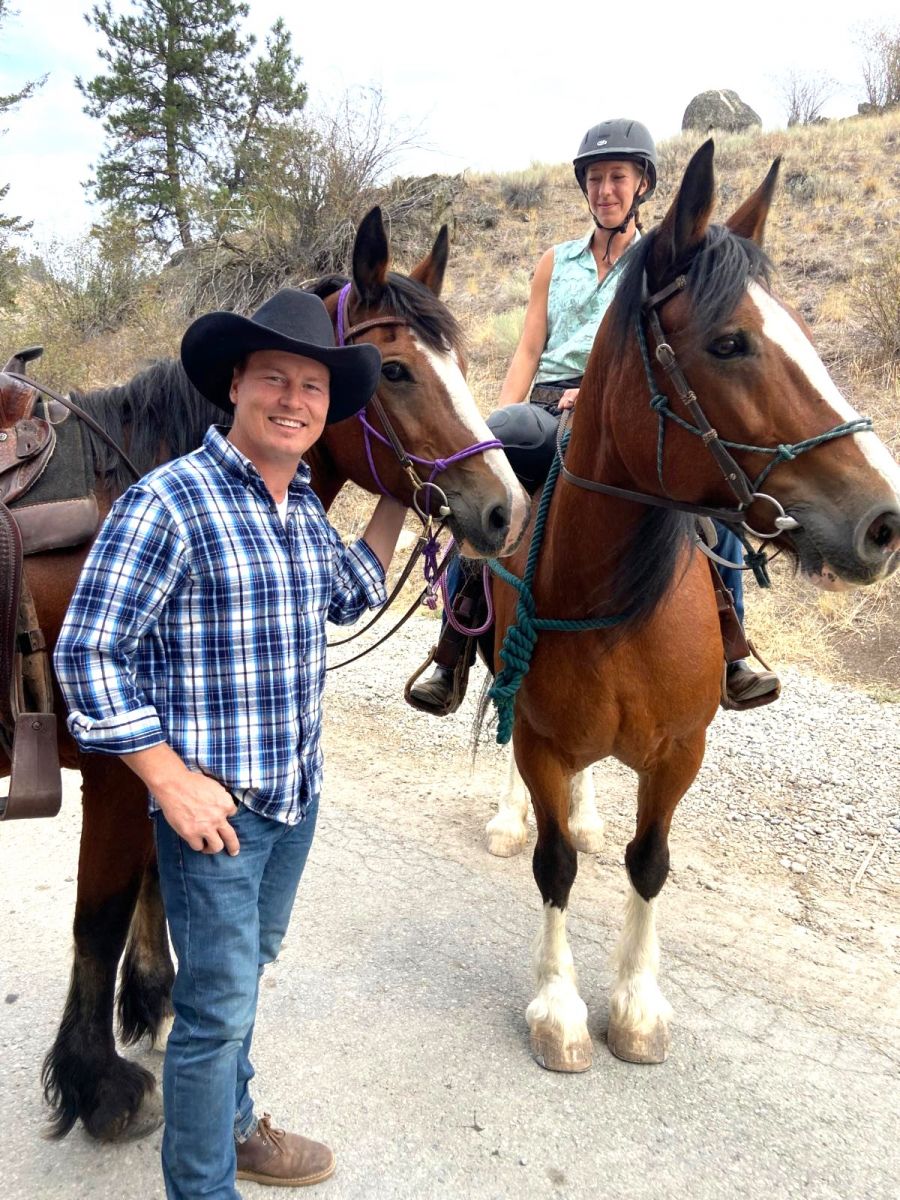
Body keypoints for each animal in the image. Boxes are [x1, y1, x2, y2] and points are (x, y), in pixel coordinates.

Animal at [5, 208, 528, 1142]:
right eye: (396, 369)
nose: (506, 509)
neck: (124, 491)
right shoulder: (118, 760)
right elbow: (97, 917)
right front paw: (97, 1082)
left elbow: (154, 877)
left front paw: (153, 998)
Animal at [487, 145, 900, 1075]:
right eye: (729, 341)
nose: (885, 520)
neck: (608, 597)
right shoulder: (539, 739)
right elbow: (553, 866)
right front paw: (560, 1009)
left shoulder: (681, 751)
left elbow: (649, 863)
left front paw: (638, 1006)